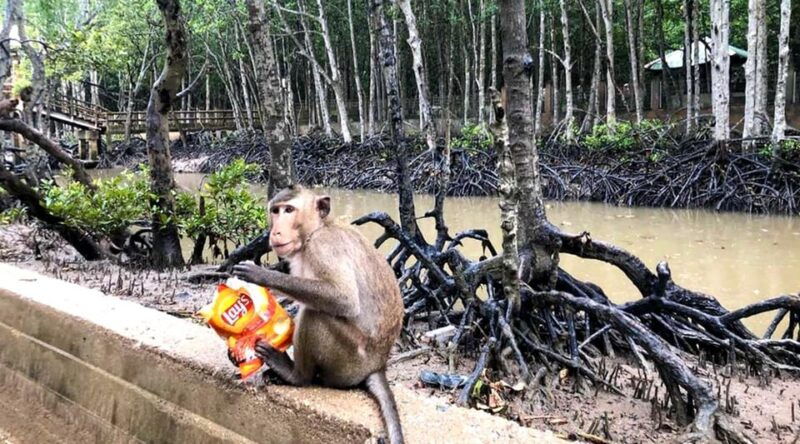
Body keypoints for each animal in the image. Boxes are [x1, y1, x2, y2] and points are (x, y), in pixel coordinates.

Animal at [232, 185, 405, 444]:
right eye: (275, 211)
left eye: (289, 210)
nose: (276, 231)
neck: (317, 229)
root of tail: (378, 364)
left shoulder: (324, 247)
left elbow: (344, 299)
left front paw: (261, 275)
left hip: (350, 361)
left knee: (314, 313)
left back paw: (295, 375)